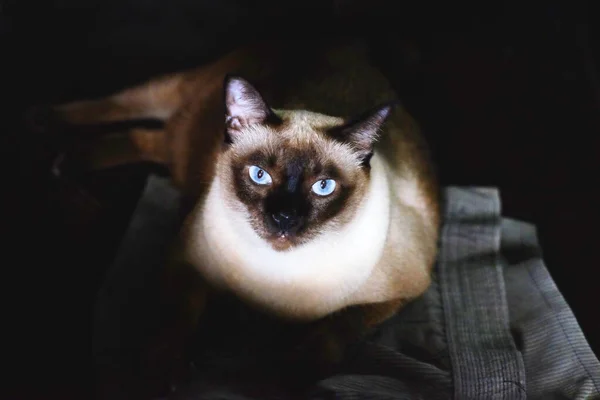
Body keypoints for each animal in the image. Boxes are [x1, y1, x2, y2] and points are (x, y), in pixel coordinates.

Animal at [38, 39, 440, 394]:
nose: (284, 219)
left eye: (323, 187)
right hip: (177, 112)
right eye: (259, 175)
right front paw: (160, 377)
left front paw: (287, 379)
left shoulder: (400, 293)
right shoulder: (185, 260)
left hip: (181, 145)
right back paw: (44, 125)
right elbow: (176, 318)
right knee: (124, 111)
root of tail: (344, 44)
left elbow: (334, 330)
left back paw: (65, 156)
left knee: (147, 137)